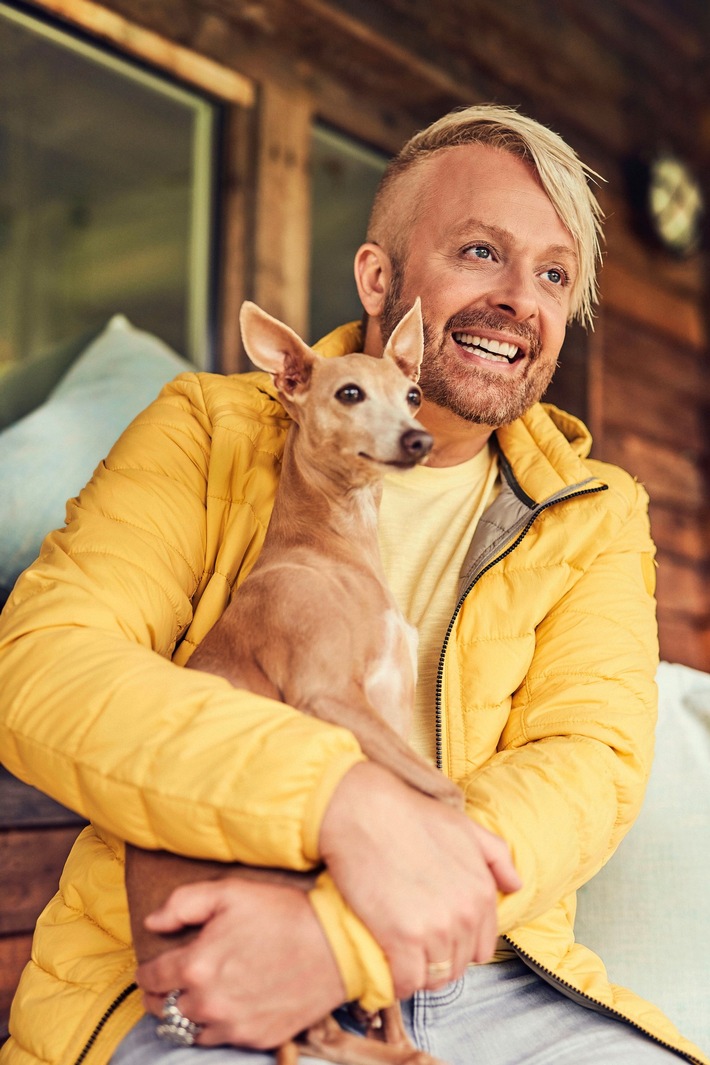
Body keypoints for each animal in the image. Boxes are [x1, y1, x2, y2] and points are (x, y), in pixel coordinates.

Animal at [125, 298, 464, 1065]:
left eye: (413, 394)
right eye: (349, 393)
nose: (419, 438)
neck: (333, 545)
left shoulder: (388, 717)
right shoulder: (329, 698)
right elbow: (447, 798)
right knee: (318, 1033)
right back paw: (397, 1048)